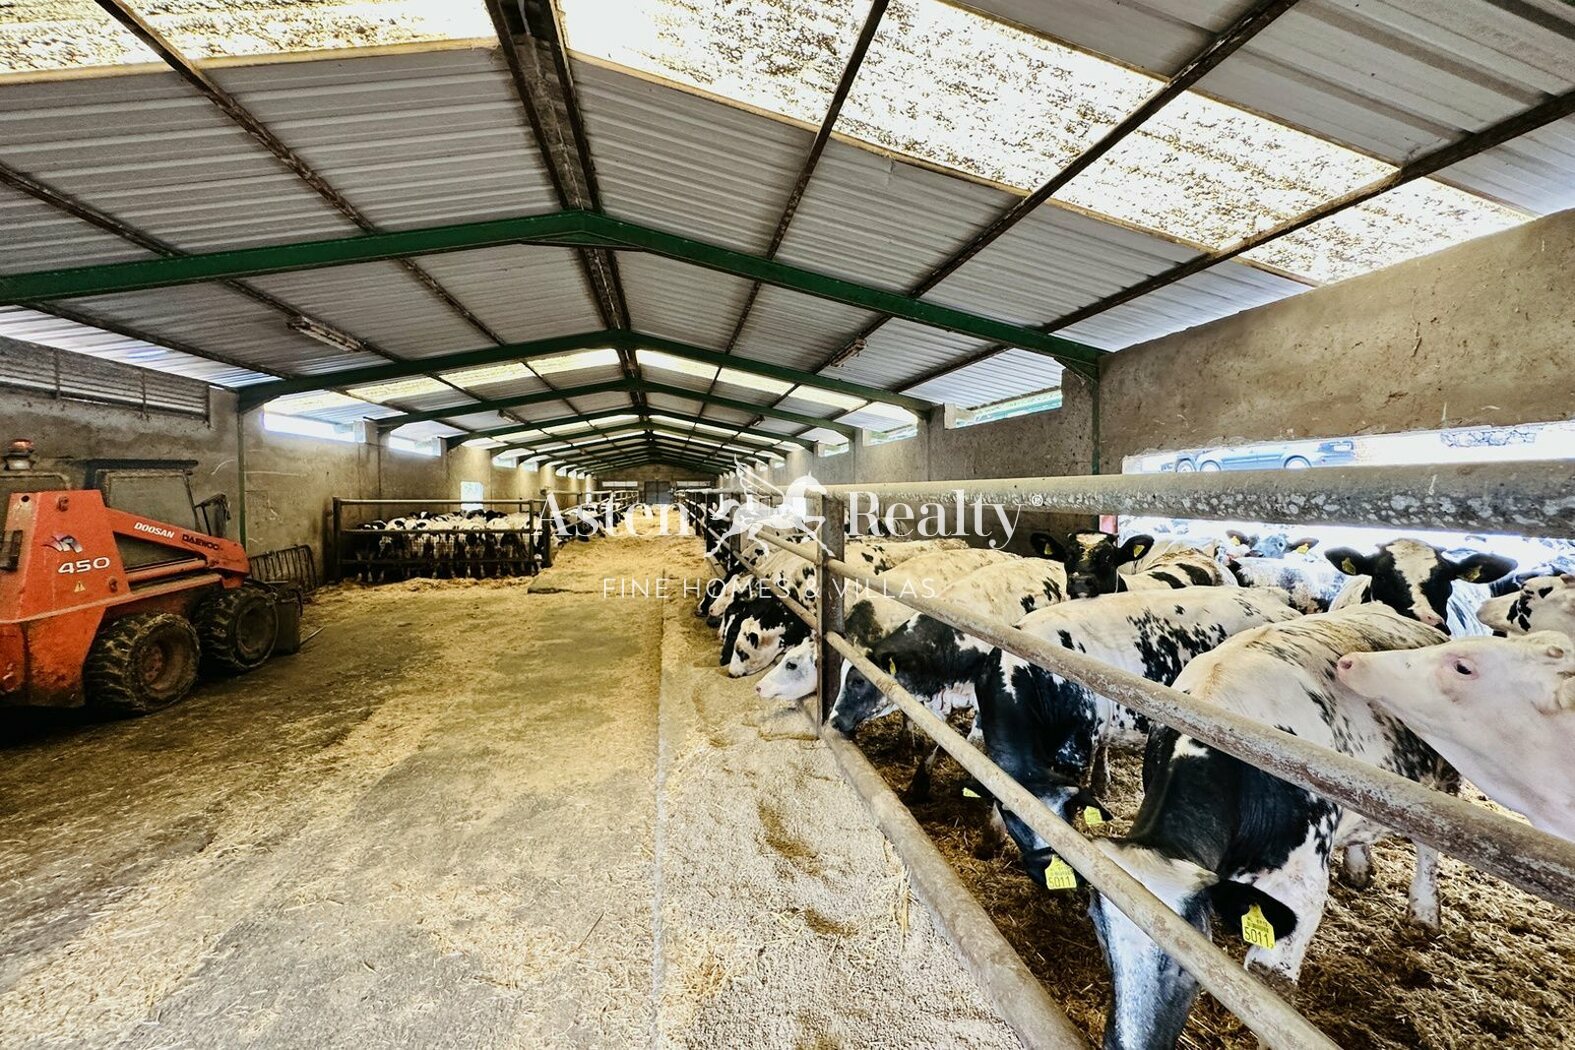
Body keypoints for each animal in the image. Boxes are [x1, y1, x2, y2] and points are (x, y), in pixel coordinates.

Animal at [1086, 606, 1452, 1050]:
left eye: (1185, 962)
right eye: (1103, 940)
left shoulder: (1300, 888)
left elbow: (1268, 991)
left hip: (1443, 783)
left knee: (1430, 846)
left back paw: (1424, 912)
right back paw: (1359, 867)